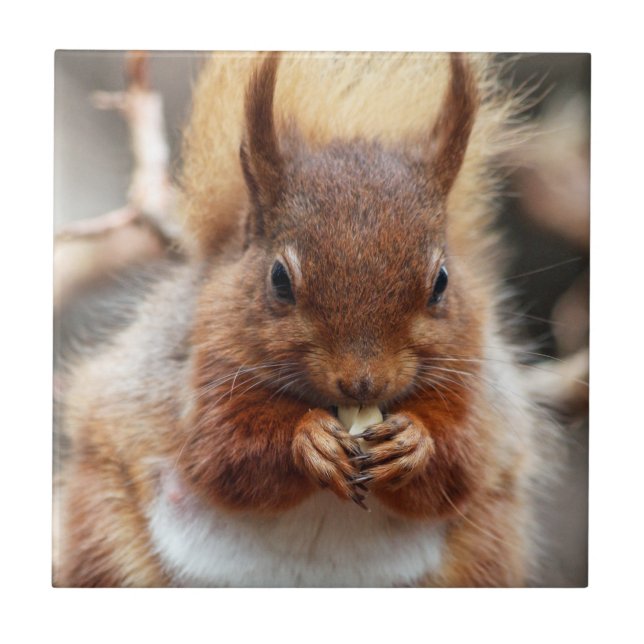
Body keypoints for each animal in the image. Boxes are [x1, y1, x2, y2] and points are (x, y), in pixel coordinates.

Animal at [55, 52, 558, 587]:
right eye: (279, 279)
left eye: (441, 282)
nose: (363, 383)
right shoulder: (201, 367)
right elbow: (223, 454)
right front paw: (309, 440)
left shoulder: (473, 381)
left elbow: (460, 465)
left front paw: (413, 442)